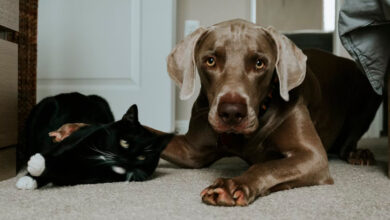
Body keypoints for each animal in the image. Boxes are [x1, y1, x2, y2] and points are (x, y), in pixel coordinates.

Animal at [16, 101, 172, 189]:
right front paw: (28, 177)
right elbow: (56, 155)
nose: (126, 160)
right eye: (124, 142)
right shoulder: (74, 142)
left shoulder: (87, 176)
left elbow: (64, 169)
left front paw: (38, 165)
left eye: (142, 157)